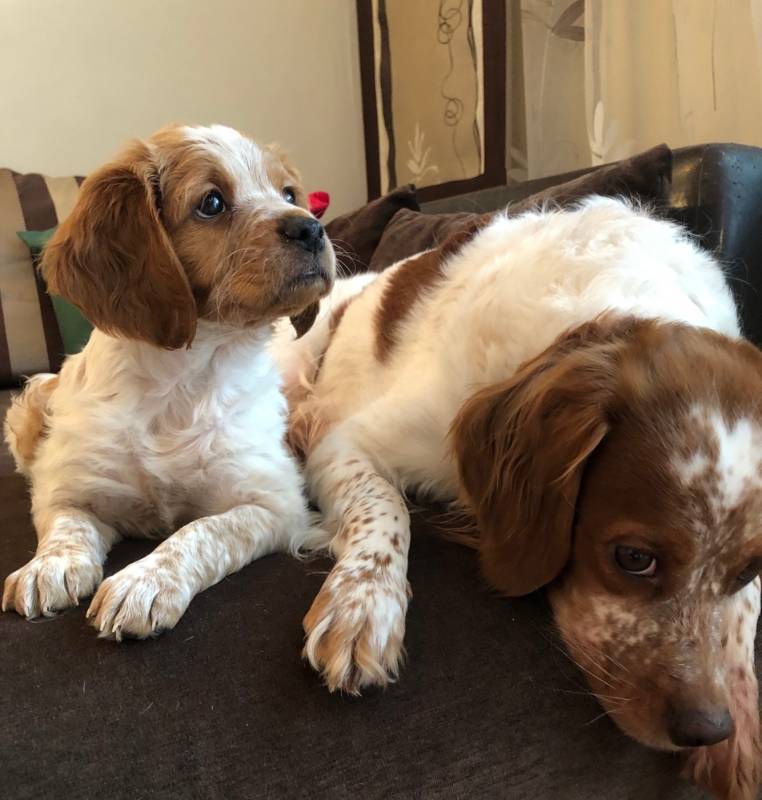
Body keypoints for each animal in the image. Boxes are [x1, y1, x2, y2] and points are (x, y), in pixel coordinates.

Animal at [3, 123, 335, 640]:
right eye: (212, 203)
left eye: (288, 194)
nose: (312, 227)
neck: (185, 376)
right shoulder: (70, 488)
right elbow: (64, 525)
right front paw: (49, 566)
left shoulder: (274, 504)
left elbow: (200, 531)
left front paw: (144, 582)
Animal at [271, 197, 762, 799]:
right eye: (633, 558)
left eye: (748, 568)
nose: (705, 729)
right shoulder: (349, 443)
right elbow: (386, 512)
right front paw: (363, 606)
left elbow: (745, 612)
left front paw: (743, 720)